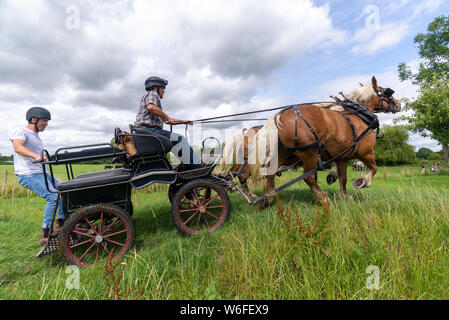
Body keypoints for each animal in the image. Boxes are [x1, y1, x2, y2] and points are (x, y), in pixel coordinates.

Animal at [248, 76, 400, 209]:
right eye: (387, 91)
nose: (398, 104)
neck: (360, 115)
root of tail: (280, 115)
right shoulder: (367, 153)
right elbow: (374, 169)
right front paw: (362, 182)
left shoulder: (342, 158)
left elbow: (343, 178)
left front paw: (345, 195)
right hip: (309, 153)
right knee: (309, 178)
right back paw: (324, 199)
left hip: (283, 153)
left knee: (270, 173)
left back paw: (268, 198)